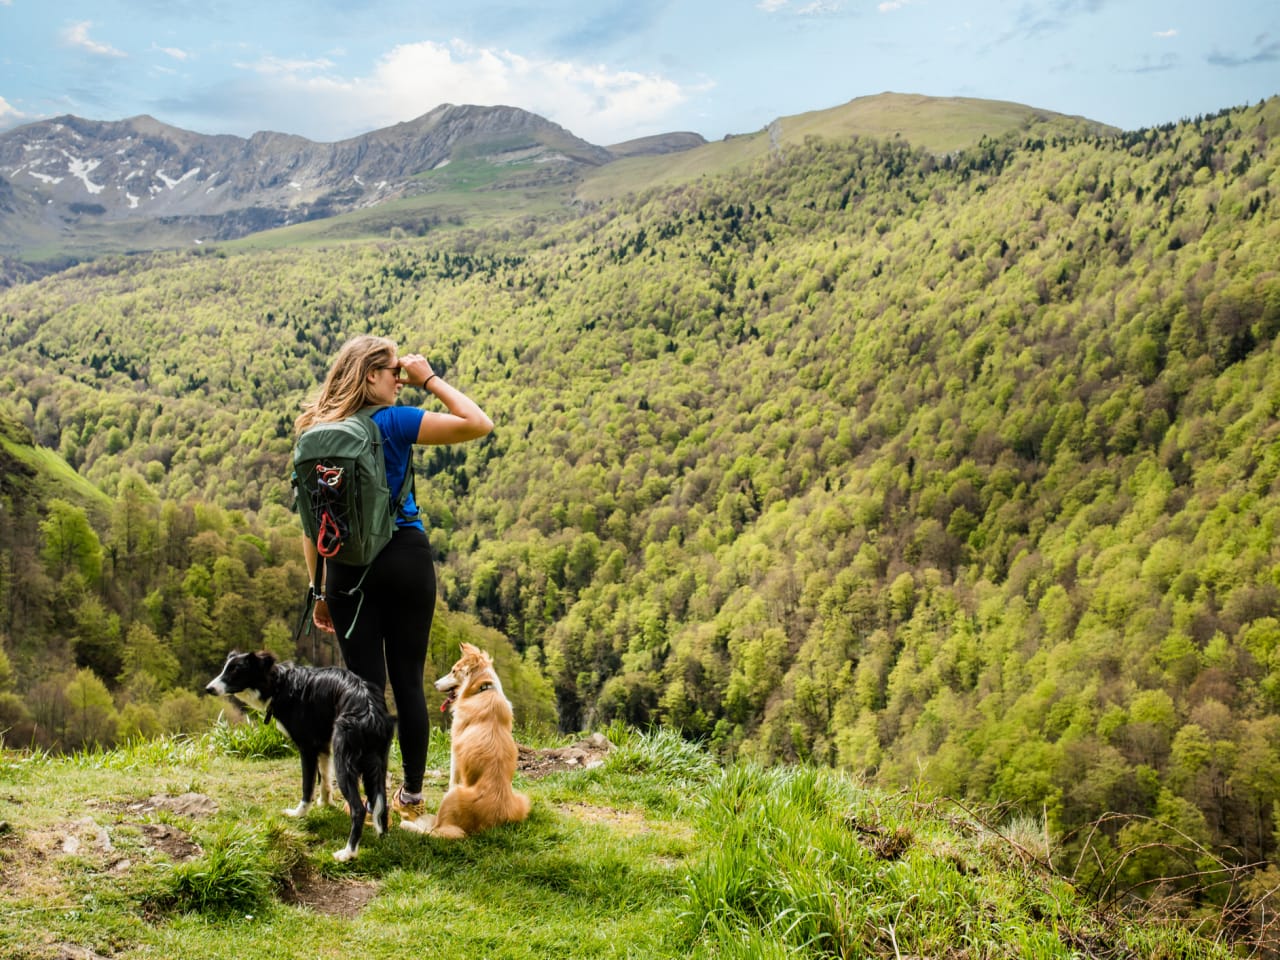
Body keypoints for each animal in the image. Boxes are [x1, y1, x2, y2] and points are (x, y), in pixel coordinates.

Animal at [204, 655, 391, 865]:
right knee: (381, 801)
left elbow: (307, 787)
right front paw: (325, 803)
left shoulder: (307, 747)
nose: (208, 689)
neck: (280, 685)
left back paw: (348, 853)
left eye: (235, 671)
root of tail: (370, 711)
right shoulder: (323, 744)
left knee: (358, 809)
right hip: (378, 763)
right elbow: (324, 779)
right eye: (225, 668)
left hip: (344, 762)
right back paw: (382, 836)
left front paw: (299, 814)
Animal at [417, 647, 532, 839]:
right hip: (522, 799)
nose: (434, 684)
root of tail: (495, 820)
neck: (482, 689)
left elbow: (452, 778)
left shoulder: (455, 748)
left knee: (436, 829)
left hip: (453, 798)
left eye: (454, 671)